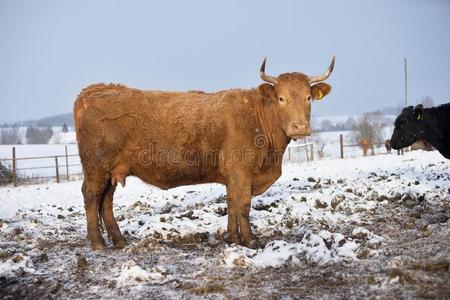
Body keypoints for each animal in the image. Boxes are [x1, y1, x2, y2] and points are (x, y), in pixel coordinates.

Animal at [74, 55, 334, 248]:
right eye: (281, 98)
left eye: (308, 98)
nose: (299, 127)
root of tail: (91, 91)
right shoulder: (241, 172)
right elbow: (243, 205)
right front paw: (250, 240)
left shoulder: (233, 176)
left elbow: (232, 204)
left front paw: (233, 238)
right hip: (97, 167)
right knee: (91, 196)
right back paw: (97, 243)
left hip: (111, 171)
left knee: (105, 202)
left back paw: (119, 240)